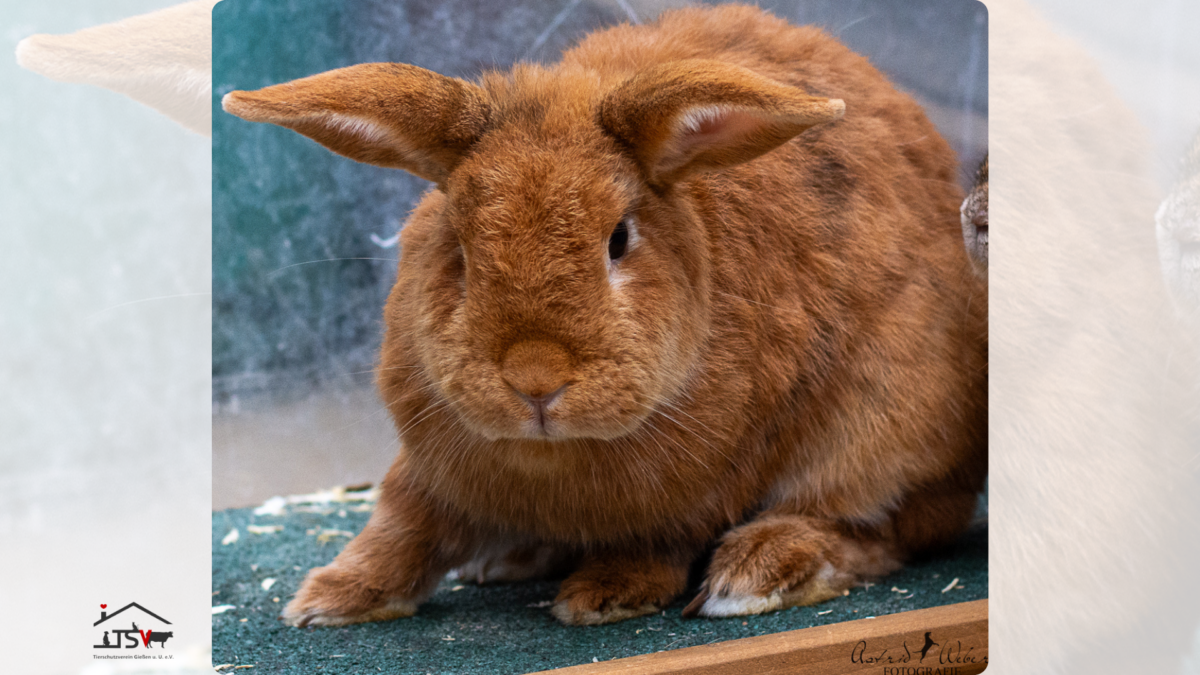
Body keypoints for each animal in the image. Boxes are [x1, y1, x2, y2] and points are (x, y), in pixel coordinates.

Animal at [222, 4, 987, 627]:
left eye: (619, 239)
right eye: (458, 248)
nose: (535, 378)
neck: (550, 458)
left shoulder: (703, 486)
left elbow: (661, 541)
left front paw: (606, 594)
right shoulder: (429, 469)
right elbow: (400, 526)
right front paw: (328, 600)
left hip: (886, 422)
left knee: (881, 529)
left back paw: (760, 570)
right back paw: (509, 557)